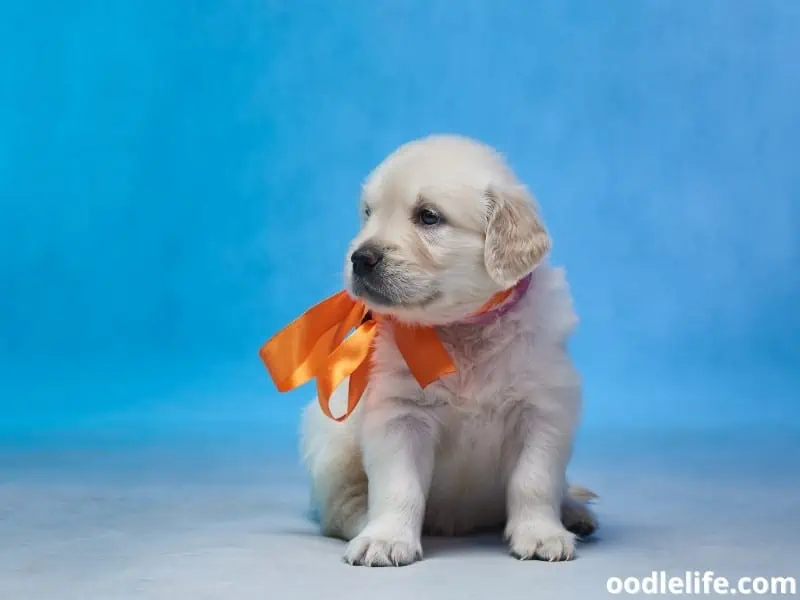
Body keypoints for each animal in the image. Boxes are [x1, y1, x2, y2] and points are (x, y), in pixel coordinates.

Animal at [298, 134, 592, 564]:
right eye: (368, 213)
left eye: (428, 217)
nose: (360, 258)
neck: (462, 328)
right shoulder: (400, 416)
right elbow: (398, 486)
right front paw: (386, 538)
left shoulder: (543, 410)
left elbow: (534, 480)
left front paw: (541, 534)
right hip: (331, 443)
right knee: (339, 508)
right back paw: (363, 525)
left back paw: (575, 512)